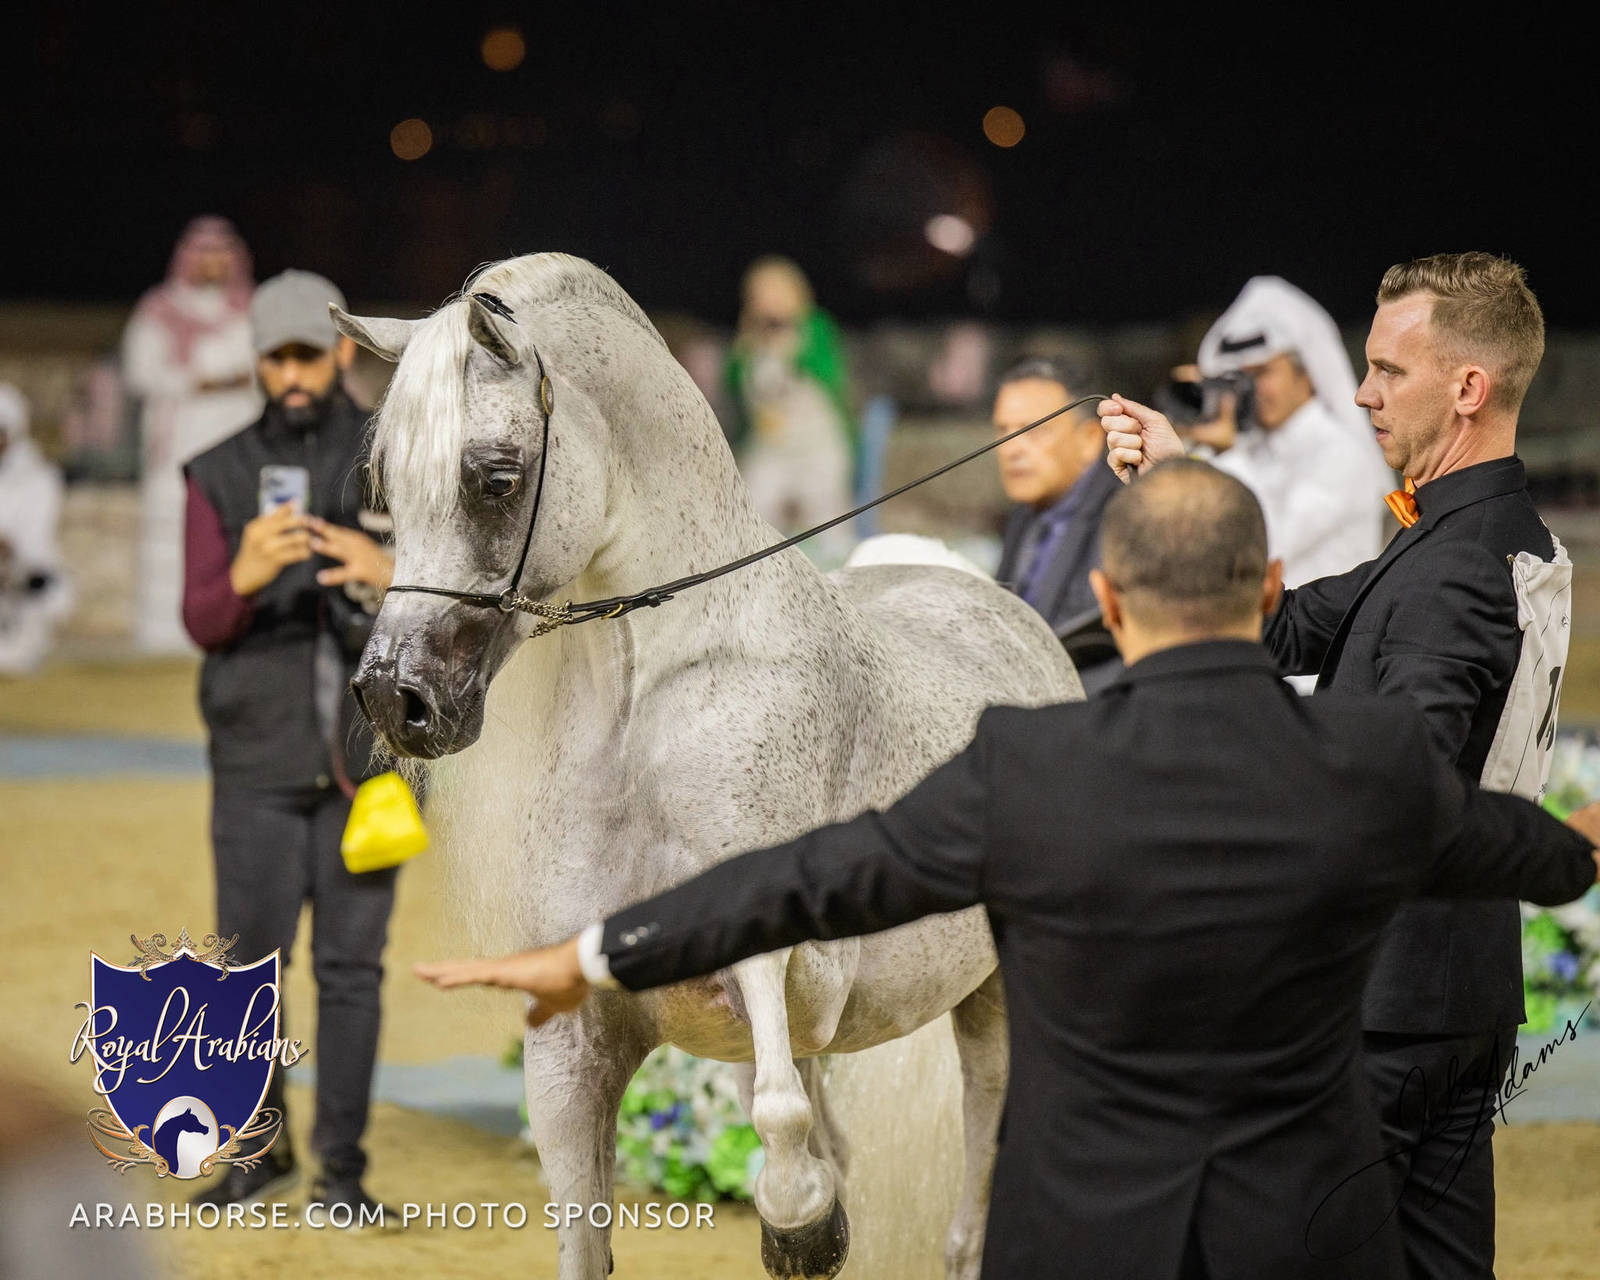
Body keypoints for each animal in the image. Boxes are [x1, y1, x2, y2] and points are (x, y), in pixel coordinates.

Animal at [336, 253, 1080, 1279]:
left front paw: (801, 1228)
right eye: (386, 484)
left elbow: (781, 1133)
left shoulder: (786, 970)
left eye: (494, 478)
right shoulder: (576, 1040)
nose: (394, 698)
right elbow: (594, 1224)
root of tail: (996, 604)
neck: (645, 721)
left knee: (971, 1192)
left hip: (995, 1003)